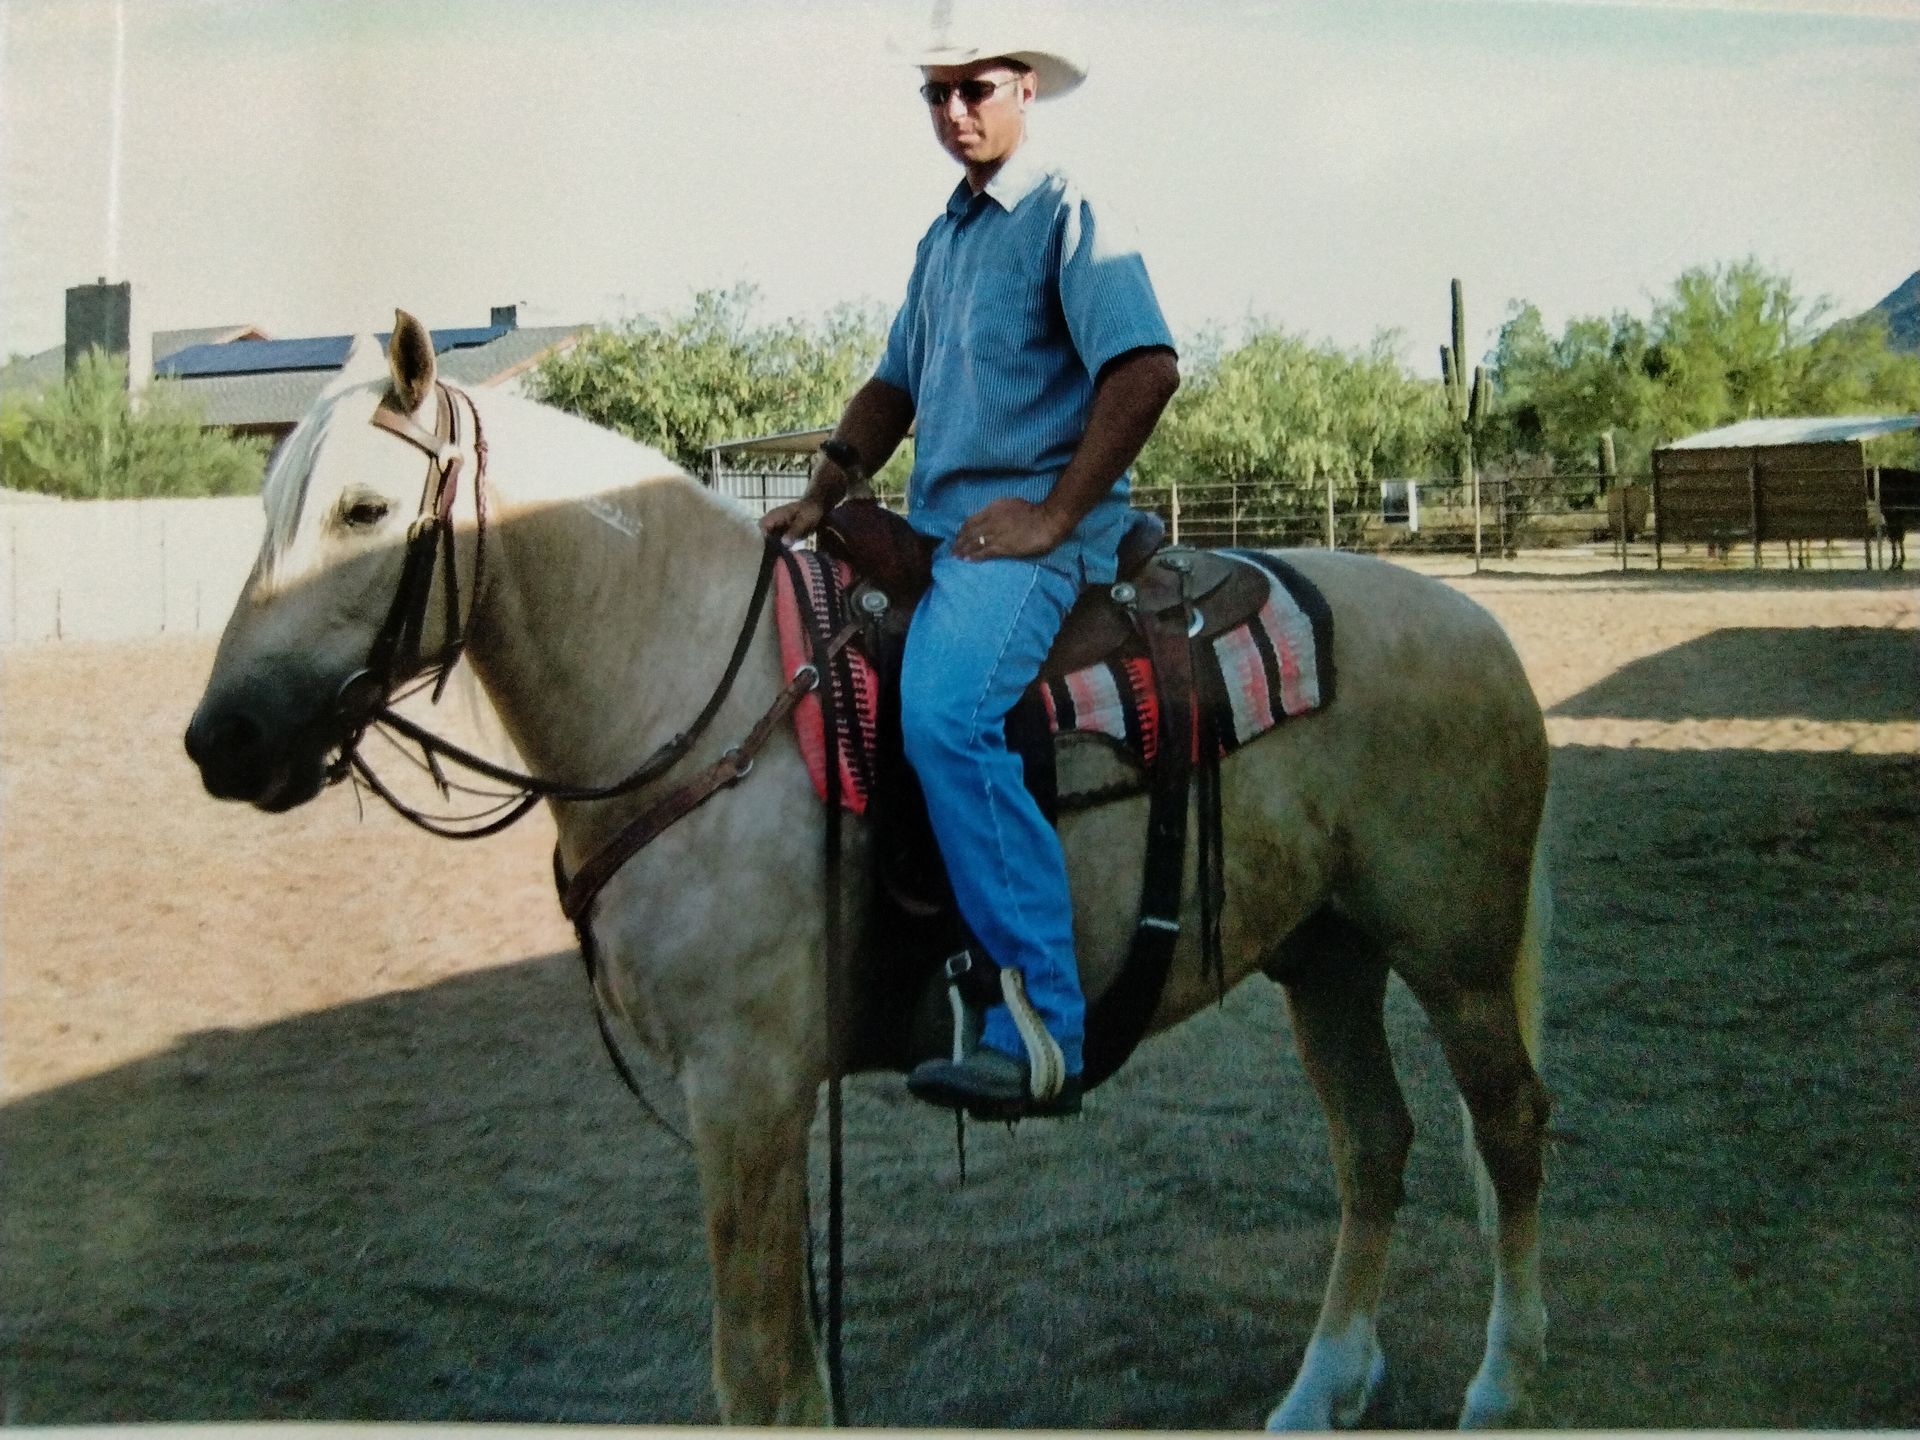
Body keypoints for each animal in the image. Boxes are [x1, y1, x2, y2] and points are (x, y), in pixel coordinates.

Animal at [184, 313, 1555, 1430]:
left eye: (365, 510)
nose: (222, 740)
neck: (695, 695)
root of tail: (1481, 625)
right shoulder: (756, 1108)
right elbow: (795, 1377)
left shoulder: (746, 1095)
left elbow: (756, 1375)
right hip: (1328, 952)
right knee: (1374, 1144)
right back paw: (1323, 1388)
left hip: (1457, 953)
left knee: (1510, 1132)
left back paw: (1500, 1390)